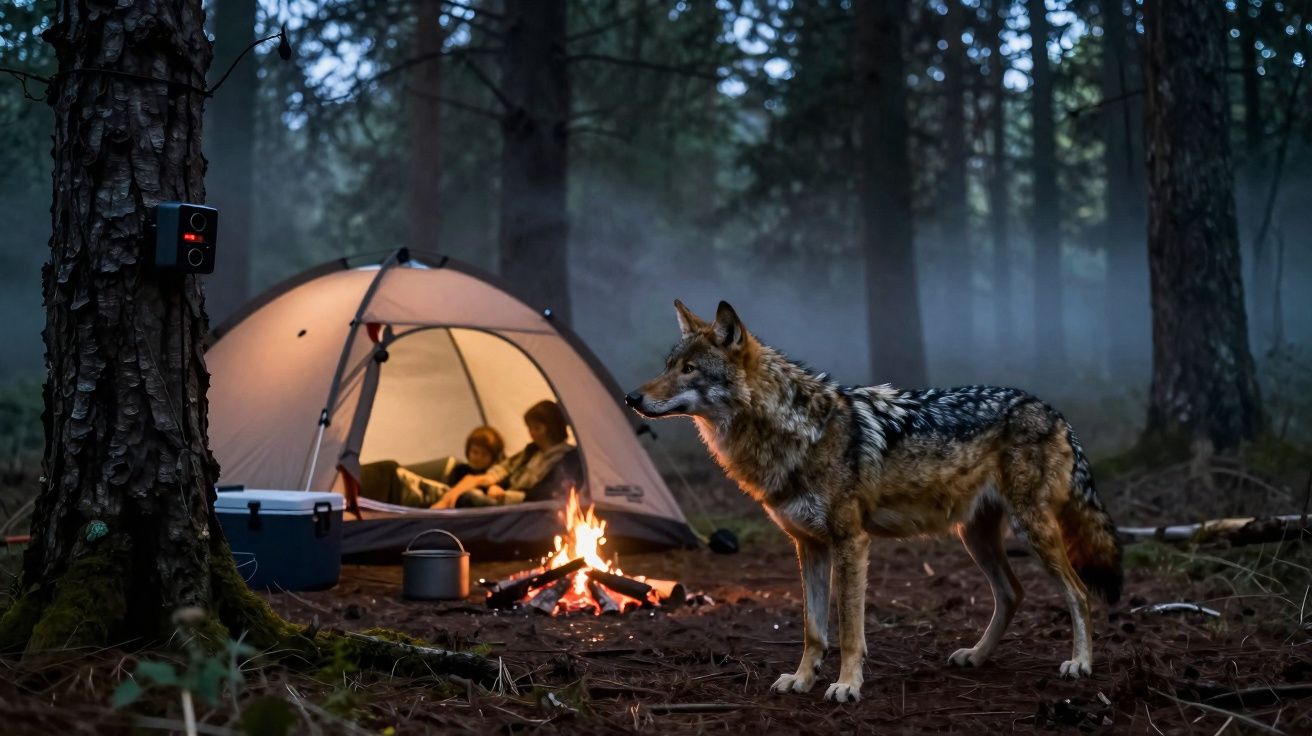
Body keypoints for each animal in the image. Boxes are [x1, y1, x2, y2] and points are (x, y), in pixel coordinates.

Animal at [625, 301, 1122, 703]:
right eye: (669, 365)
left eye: (690, 369)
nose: (631, 397)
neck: (795, 433)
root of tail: (1051, 410)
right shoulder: (809, 546)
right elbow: (813, 630)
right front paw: (802, 680)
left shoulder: (851, 542)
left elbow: (848, 631)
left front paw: (846, 686)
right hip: (975, 537)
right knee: (1012, 593)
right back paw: (977, 656)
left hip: (1031, 530)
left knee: (1078, 593)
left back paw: (1080, 664)